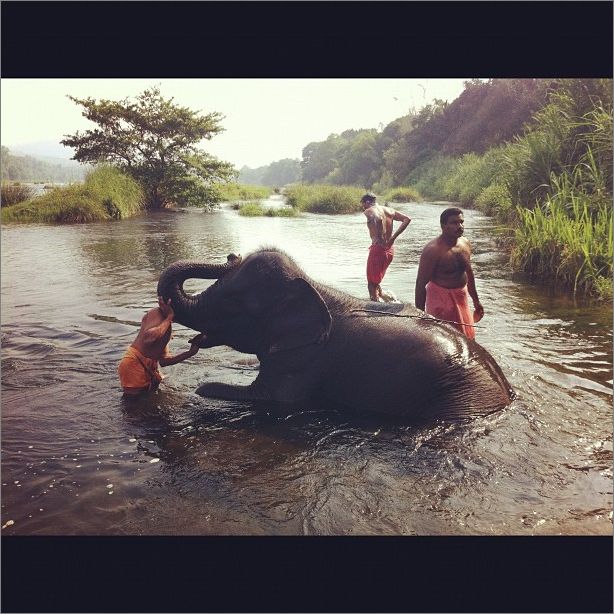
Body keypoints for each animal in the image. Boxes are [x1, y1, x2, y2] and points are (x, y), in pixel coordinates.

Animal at [158, 248, 516, 422]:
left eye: (234, 303)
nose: (232, 255)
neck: (313, 286)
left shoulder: (306, 359)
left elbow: (275, 399)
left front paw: (201, 387)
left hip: (457, 402)